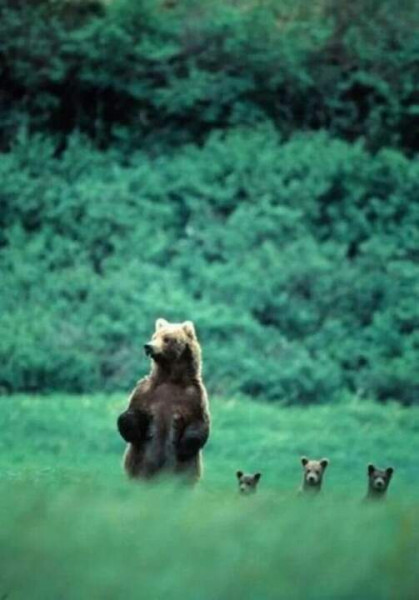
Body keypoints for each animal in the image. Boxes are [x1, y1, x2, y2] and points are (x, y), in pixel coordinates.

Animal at [117, 318, 210, 482]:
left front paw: (183, 447)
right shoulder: (145, 391)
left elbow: (199, 423)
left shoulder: (195, 396)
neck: (170, 378)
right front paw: (133, 426)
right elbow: (133, 412)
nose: (148, 346)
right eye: (154, 336)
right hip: (139, 466)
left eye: (167, 338)